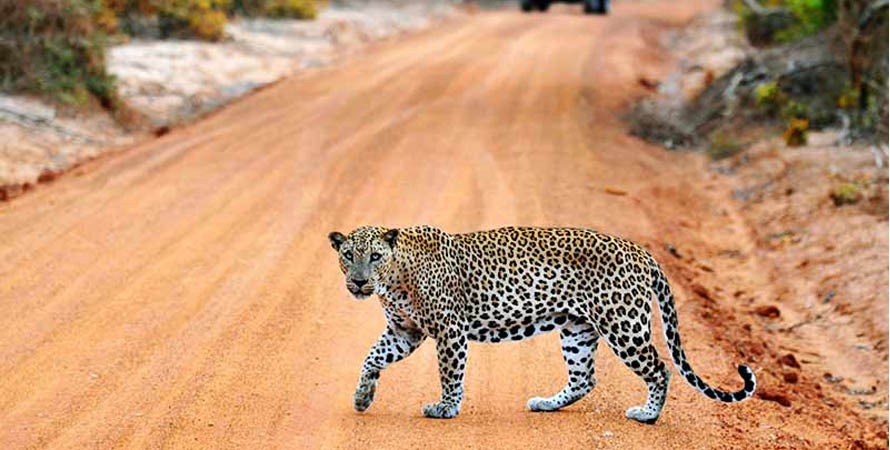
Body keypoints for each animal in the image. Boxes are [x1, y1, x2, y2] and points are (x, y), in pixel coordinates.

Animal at [326, 227, 756, 424]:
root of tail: (640, 250)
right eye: (348, 256)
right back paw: (546, 403)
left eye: (375, 256)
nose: (360, 282)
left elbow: (450, 374)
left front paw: (445, 408)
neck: (395, 279)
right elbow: (371, 358)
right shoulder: (405, 332)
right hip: (577, 330)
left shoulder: (449, 331)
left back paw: (647, 414)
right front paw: (362, 397)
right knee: (584, 379)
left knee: (660, 367)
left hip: (623, 325)